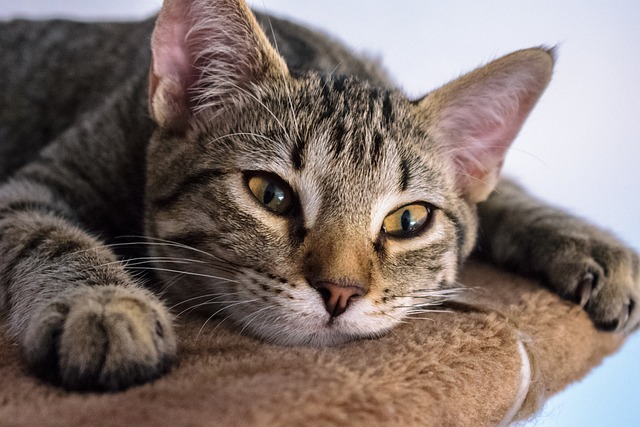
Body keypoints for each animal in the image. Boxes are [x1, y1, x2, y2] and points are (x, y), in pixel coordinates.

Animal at [0, 0, 636, 392]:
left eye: (409, 221)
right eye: (271, 194)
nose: (339, 292)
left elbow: (504, 194)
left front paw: (588, 244)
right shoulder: (35, 185)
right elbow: (50, 235)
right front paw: (105, 306)